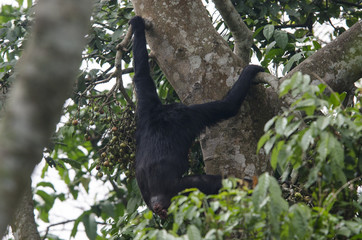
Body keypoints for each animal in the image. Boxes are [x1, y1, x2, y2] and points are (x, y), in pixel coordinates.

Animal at [129, 15, 264, 218]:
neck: (164, 114)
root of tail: (156, 201)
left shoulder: (147, 107)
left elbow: (141, 74)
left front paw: (137, 26)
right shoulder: (192, 115)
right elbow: (227, 107)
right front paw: (251, 71)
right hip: (180, 188)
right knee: (210, 182)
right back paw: (247, 184)